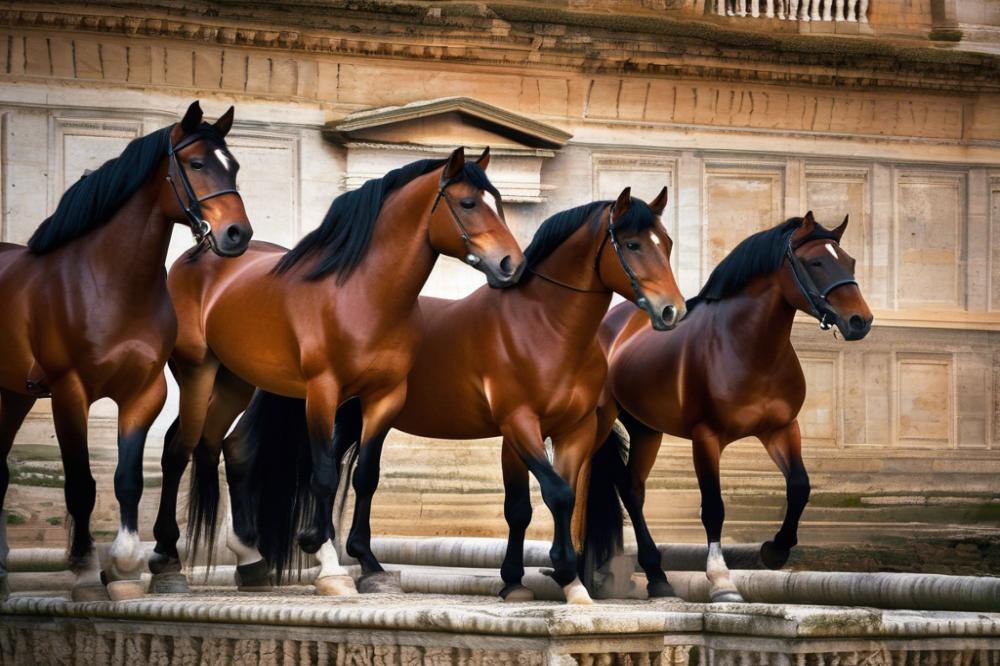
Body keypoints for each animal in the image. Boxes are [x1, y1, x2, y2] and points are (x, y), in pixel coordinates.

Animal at [0, 101, 250, 600]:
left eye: (232, 165)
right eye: (196, 164)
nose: (238, 234)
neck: (109, 283)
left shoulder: (143, 393)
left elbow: (128, 479)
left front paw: (125, 566)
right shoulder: (69, 393)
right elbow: (81, 484)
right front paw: (83, 571)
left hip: (13, 395)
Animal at [153, 145, 528, 592]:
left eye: (500, 204)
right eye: (469, 203)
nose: (511, 264)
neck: (362, 294)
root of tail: (198, 255)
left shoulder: (384, 398)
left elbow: (367, 476)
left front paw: (369, 563)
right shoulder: (323, 393)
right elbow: (325, 475)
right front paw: (324, 556)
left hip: (236, 383)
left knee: (229, 447)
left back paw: (250, 560)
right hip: (198, 374)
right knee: (179, 447)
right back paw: (166, 558)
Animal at [382, 185, 688, 600]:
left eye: (667, 243)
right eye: (633, 244)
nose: (672, 310)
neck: (545, 328)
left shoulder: (573, 430)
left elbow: (552, 497)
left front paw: (537, 576)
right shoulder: (519, 424)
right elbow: (550, 496)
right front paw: (556, 569)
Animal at [584, 213, 872, 600]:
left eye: (850, 261)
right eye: (816, 263)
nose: (860, 321)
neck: (749, 346)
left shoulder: (781, 429)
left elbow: (799, 486)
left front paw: (775, 550)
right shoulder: (706, 438)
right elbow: (714, 508)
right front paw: (721, 581)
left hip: (646, 429)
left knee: (631, 490)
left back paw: (656, 575)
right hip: (601, 422)